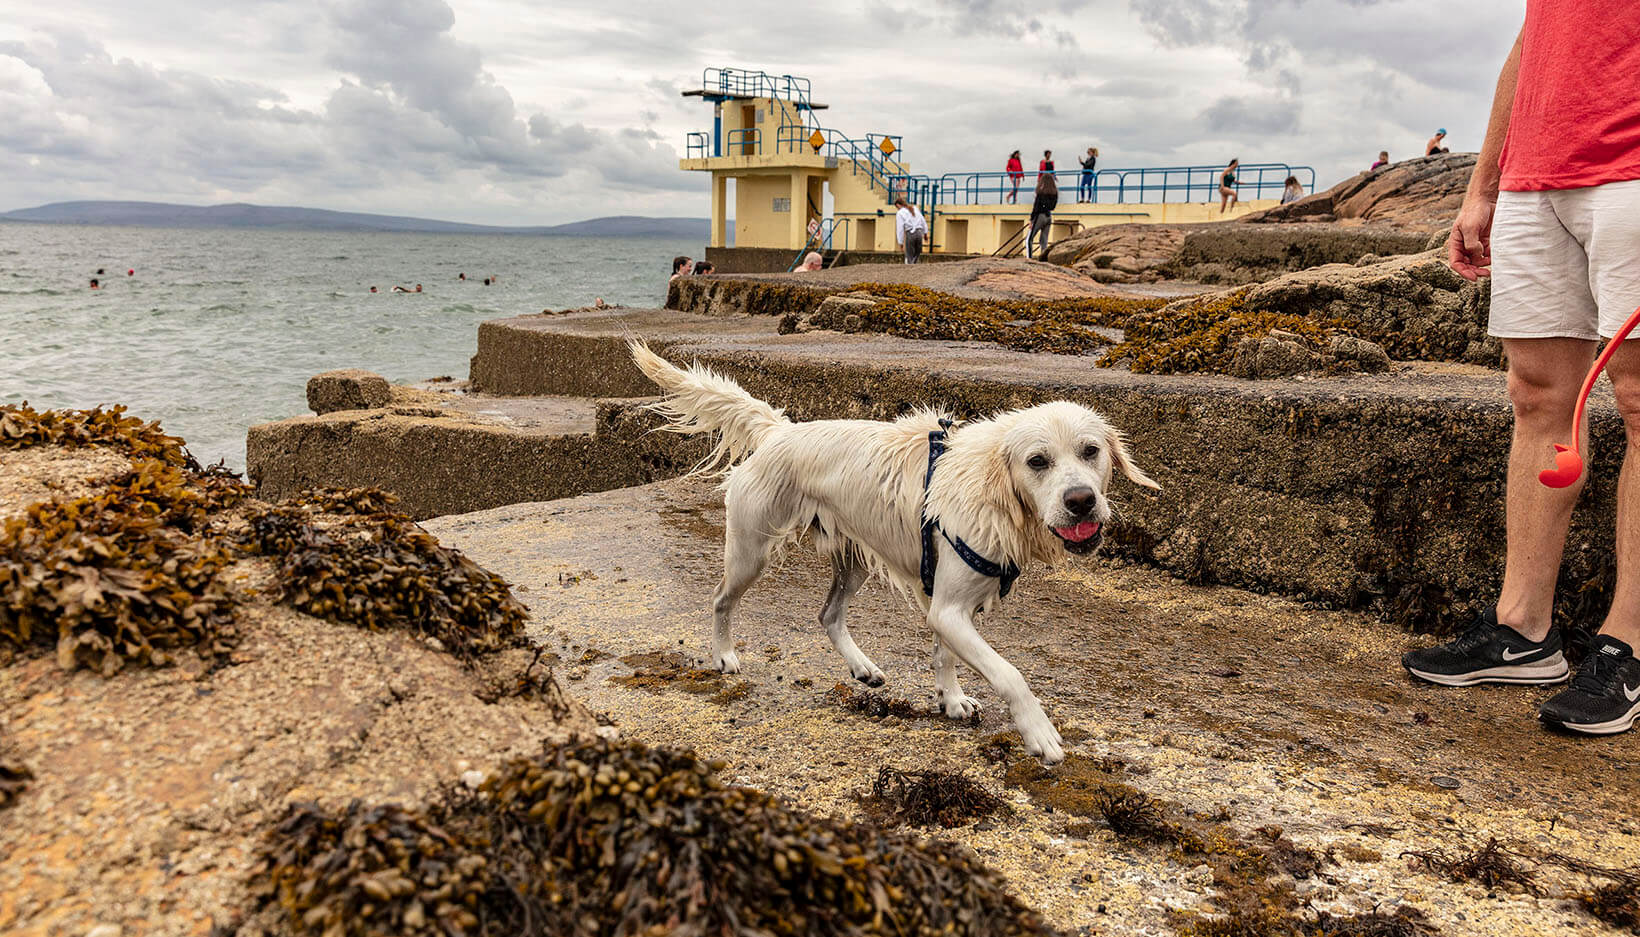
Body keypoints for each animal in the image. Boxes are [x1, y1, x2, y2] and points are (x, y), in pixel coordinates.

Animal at [626, 341, 1154, 764]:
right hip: (751, 549)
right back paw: (724, 656)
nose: (1081, 500)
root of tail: (779, 430)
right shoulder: (950, 607)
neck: (998, 494)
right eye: (1037, 461)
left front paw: (951, 699)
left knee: (828, 614)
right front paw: (1040, 733)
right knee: (721, 599)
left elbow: (944, 655)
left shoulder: (948, 602)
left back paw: (862, 667)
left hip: (854, 560)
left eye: (1091, 451)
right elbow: (1010, 674)